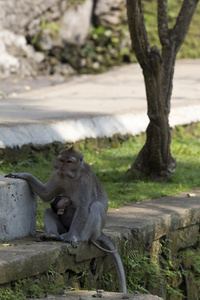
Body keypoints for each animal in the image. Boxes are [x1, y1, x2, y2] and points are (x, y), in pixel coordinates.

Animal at [5, 146, 126, 294]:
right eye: (62, 160)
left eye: (69, 162)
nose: (62, 168)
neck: (71, 176)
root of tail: (100, 232)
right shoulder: (58, 176)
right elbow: (46, 194)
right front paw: (24, 175)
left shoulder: (85, 181)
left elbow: (83, 208)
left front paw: (71, 237)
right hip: (63, 228)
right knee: (48, 210)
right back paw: (52, 235)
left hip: (94, 231)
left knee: (95, 206)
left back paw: (81, 237)